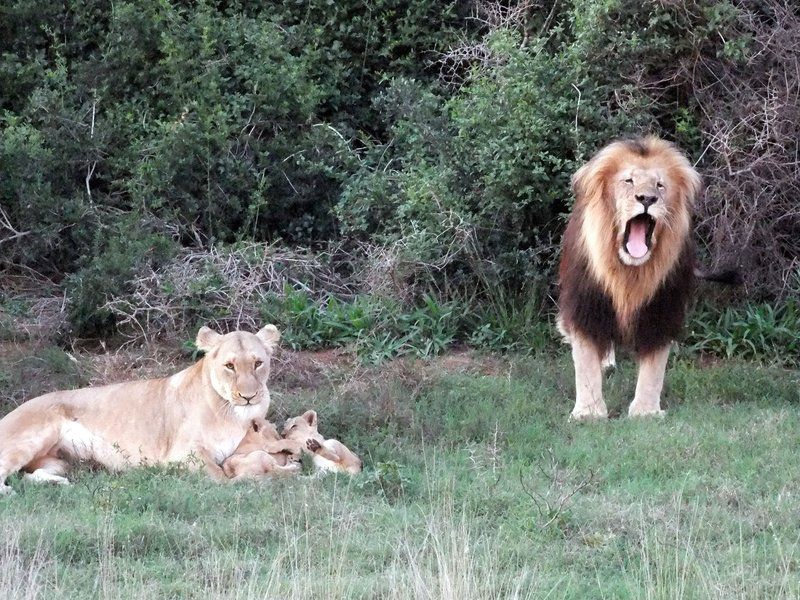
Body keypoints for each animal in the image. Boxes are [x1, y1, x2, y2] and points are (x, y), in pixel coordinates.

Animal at [0, 326, 282, 494]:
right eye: (229, 366)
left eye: (258, 363)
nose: (248, 396)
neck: (234, 413)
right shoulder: (182, 454)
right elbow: (221, 477)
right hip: (30, 438)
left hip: (59, 461)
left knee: (28, 476)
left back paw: (60, 484)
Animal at [560, 137, 736, 420]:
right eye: (629, 181)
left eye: (660, 185)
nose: (647, 198)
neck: (628, 274)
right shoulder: (586, 305)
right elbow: (586, 363)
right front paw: (589, 413)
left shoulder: (661, 309)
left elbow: (654, 368)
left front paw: (645, 412)